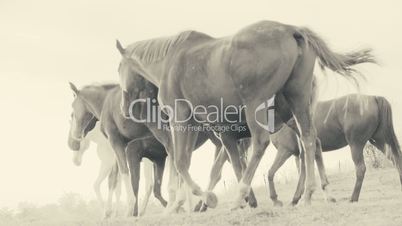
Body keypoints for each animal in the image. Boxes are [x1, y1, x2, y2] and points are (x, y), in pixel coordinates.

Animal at [116, 19, 376, 210]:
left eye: (119, 68)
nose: (125, 107)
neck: (169, 63)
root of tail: (291, 30)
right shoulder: (222, 133)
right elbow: (230, 163)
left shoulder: (183, 120)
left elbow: (182, 162)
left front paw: (209, 198)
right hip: (297, 102)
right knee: (309, 139)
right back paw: (310, 194)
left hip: (256, 105)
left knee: (263, 142)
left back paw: (241, 195)